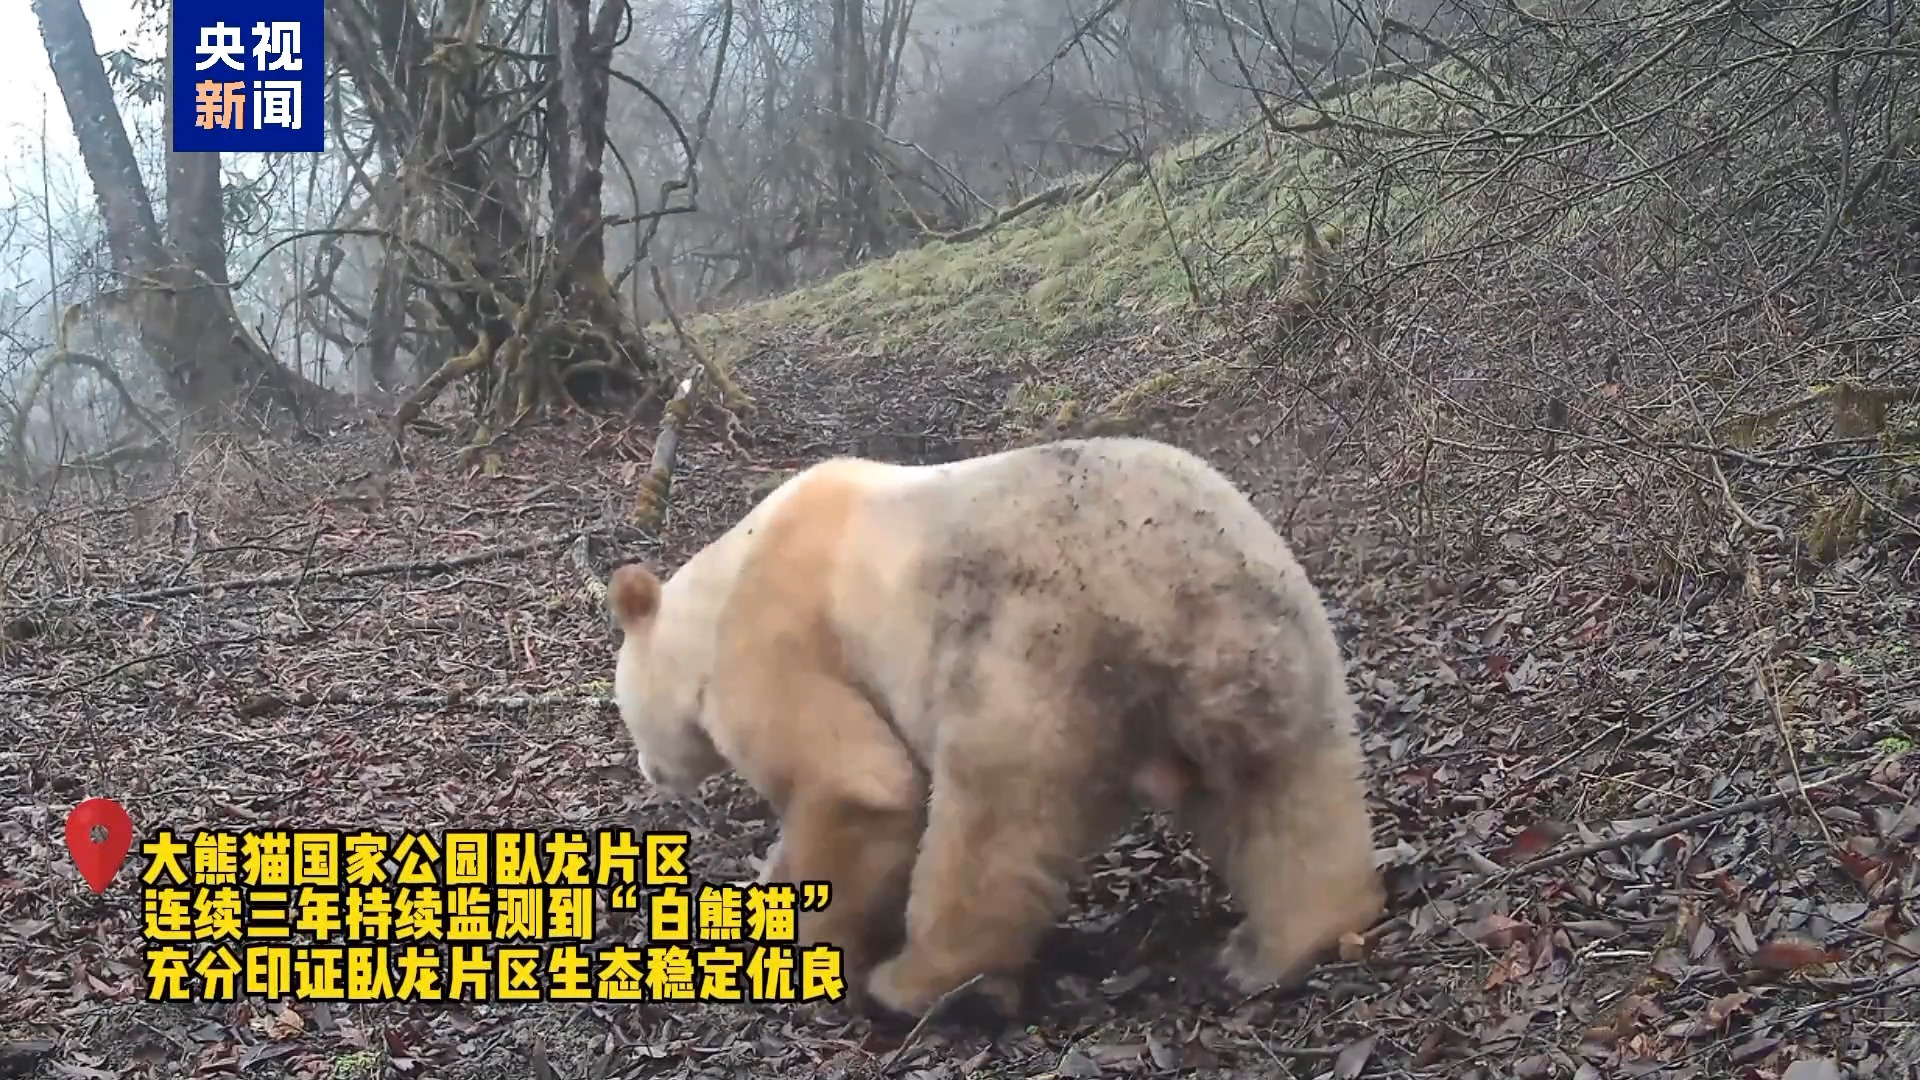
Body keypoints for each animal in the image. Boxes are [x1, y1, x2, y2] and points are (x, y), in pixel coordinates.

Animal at [606, 436, 1383, 1021]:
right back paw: (1286, 943)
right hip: (1271, 638)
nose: (647, 772)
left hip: (1025, 660)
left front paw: (814, 944)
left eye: (624, 710)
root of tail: (1171, 596)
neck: (729, 574)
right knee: (1288, 796)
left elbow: (858, 785)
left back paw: (924, 983)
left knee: (986, 830)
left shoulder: (779, 639)